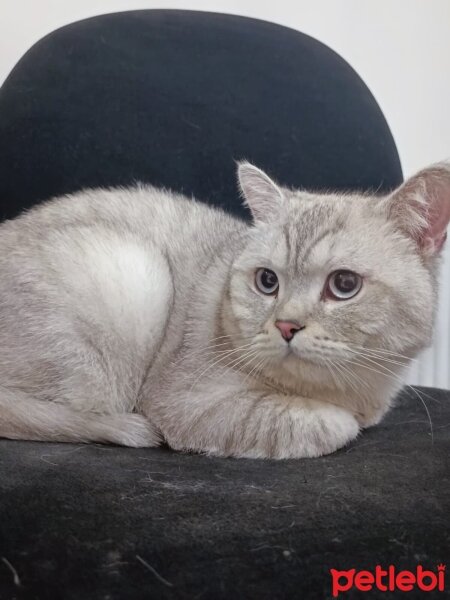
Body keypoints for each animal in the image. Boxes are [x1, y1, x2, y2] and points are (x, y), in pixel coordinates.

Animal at [0, 162, 450, 458]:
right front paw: (337, 419)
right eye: (267, 281)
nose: (286, 325)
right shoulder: (186, 402)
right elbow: (316, 423)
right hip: (134, 279)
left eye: (344, 285)